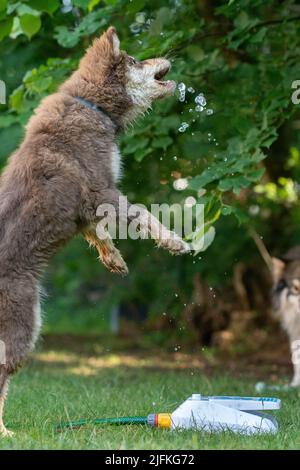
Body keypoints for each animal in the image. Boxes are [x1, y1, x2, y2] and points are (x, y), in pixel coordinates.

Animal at [0, 26, 190, 436]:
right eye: (135, 60)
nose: (167, 58)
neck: (92, 106)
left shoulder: (87, 209)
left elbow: (98, 235)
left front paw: (113, 259)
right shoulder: (103, 191)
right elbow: (143, 216)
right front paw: (174, 241)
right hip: (22, 324)